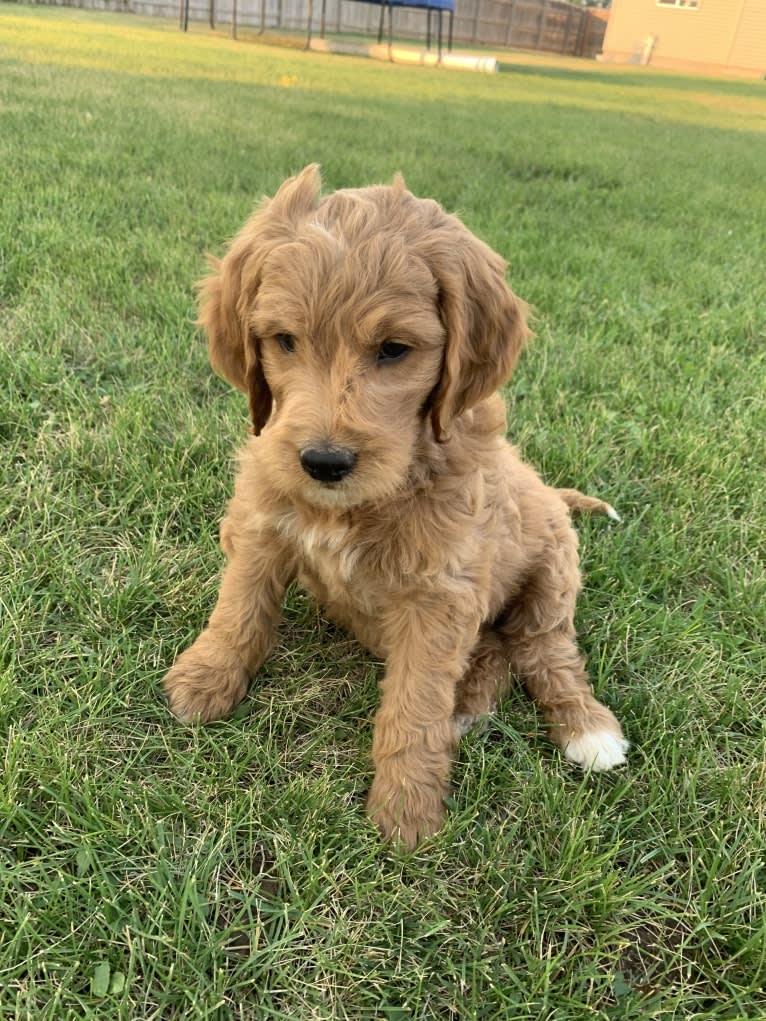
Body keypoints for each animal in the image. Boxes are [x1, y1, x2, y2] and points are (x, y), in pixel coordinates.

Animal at [163, 167, 629, 849]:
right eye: (284, 341)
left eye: (393, 349)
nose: (324, 462)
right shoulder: (262, 522)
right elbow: (239, 609)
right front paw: (204, 680)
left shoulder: (440, 593)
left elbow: (415, 701)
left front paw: (407, 810)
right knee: (496, 650)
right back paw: (469, 710)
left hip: (553, 571)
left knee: (545, 650)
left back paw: (586, 730)